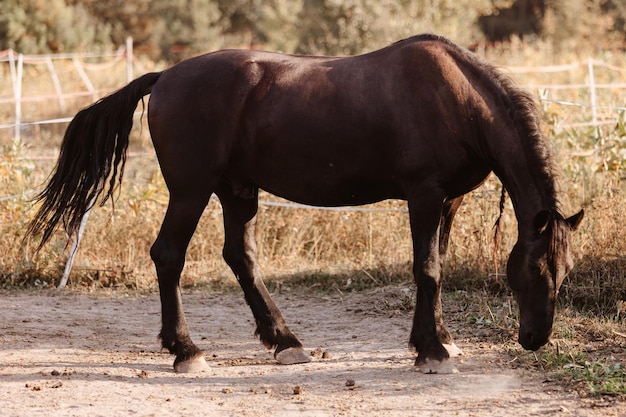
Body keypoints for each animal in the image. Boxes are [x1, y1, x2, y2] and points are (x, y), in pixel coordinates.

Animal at [24, 35, 580, 374]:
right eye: (534, 268)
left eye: (566, 269)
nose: (535, 338)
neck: (455, 98)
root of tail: (164, 77)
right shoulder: (424, 196)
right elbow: (426, 268)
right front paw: (431, 350)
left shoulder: (448, 202)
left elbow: (436, 265)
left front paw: (441, 339)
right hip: (191, 191)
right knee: (168, 256)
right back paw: (186, 351)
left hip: (237, 191)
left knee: (240, 258)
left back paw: (285, 342)